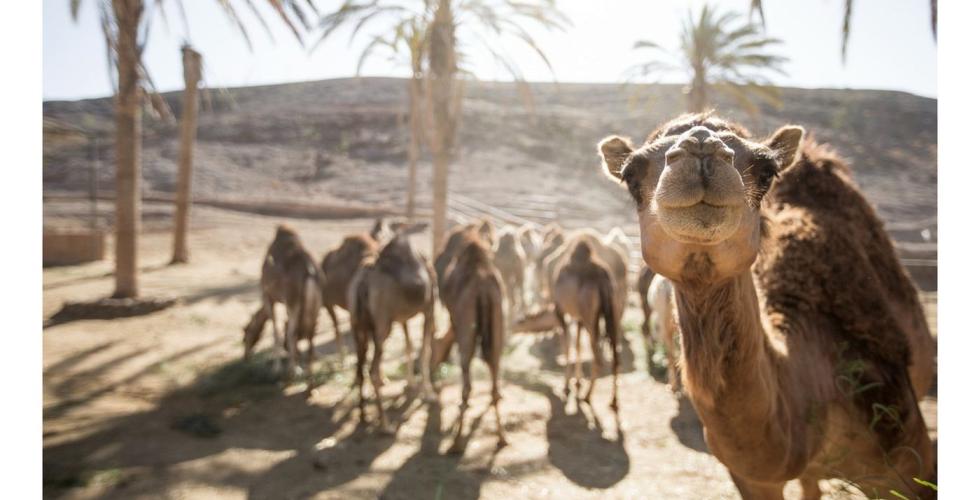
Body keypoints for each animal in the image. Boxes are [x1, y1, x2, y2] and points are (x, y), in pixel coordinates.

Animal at [242, 225, 323, 389]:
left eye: (245, 334)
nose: (245, 357)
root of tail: (310, 271)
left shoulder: (268, 296)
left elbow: (276, 331)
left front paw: (275, 370)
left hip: (293, 300)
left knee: (293, 332)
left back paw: (292, 374)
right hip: (315, 303)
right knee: (310, 333)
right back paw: (309, 377)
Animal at [348, 227, 437, 431]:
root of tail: (362, 283)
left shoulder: (402, 318)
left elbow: (408, 346)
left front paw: (410, 384)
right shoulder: (429, 308)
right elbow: (425, 351)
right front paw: (429, 394)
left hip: (359, 326)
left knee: (359, 365)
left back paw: (363, 416)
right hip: (383, 325)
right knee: (372, 369)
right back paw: (385, 424)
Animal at [440, 232, 508, 452]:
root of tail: (482, 288)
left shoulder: (455, 319)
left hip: (466, 331)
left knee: (467, 380)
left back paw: (455, 443)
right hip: (497, 325)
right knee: (494, 375)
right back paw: (502, 438)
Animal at [551, 240, 621, 410]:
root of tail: (603, 282)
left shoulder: (559, 311)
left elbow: (567, 347)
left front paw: (566, 385)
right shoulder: (579, 318)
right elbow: (577, 346)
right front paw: (577, 381)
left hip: (590, 316)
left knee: (598, 357)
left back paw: (587, 396)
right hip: (612, 312)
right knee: (615, 356)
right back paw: (613, 400)